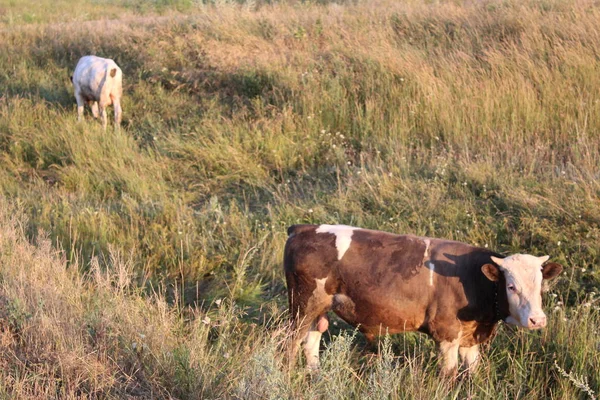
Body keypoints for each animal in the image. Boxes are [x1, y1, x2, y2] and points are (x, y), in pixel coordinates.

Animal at [284, 223, 564, 376]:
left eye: (540, 286)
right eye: (511, 286)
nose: (537, 320)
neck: (472, 279)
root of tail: (303, 229)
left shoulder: (470, 337)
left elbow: (471, 372)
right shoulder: (446, 333)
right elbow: (449, 375)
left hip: (318, 309)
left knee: (312, 341)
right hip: (301, 306)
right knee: (291, 343)